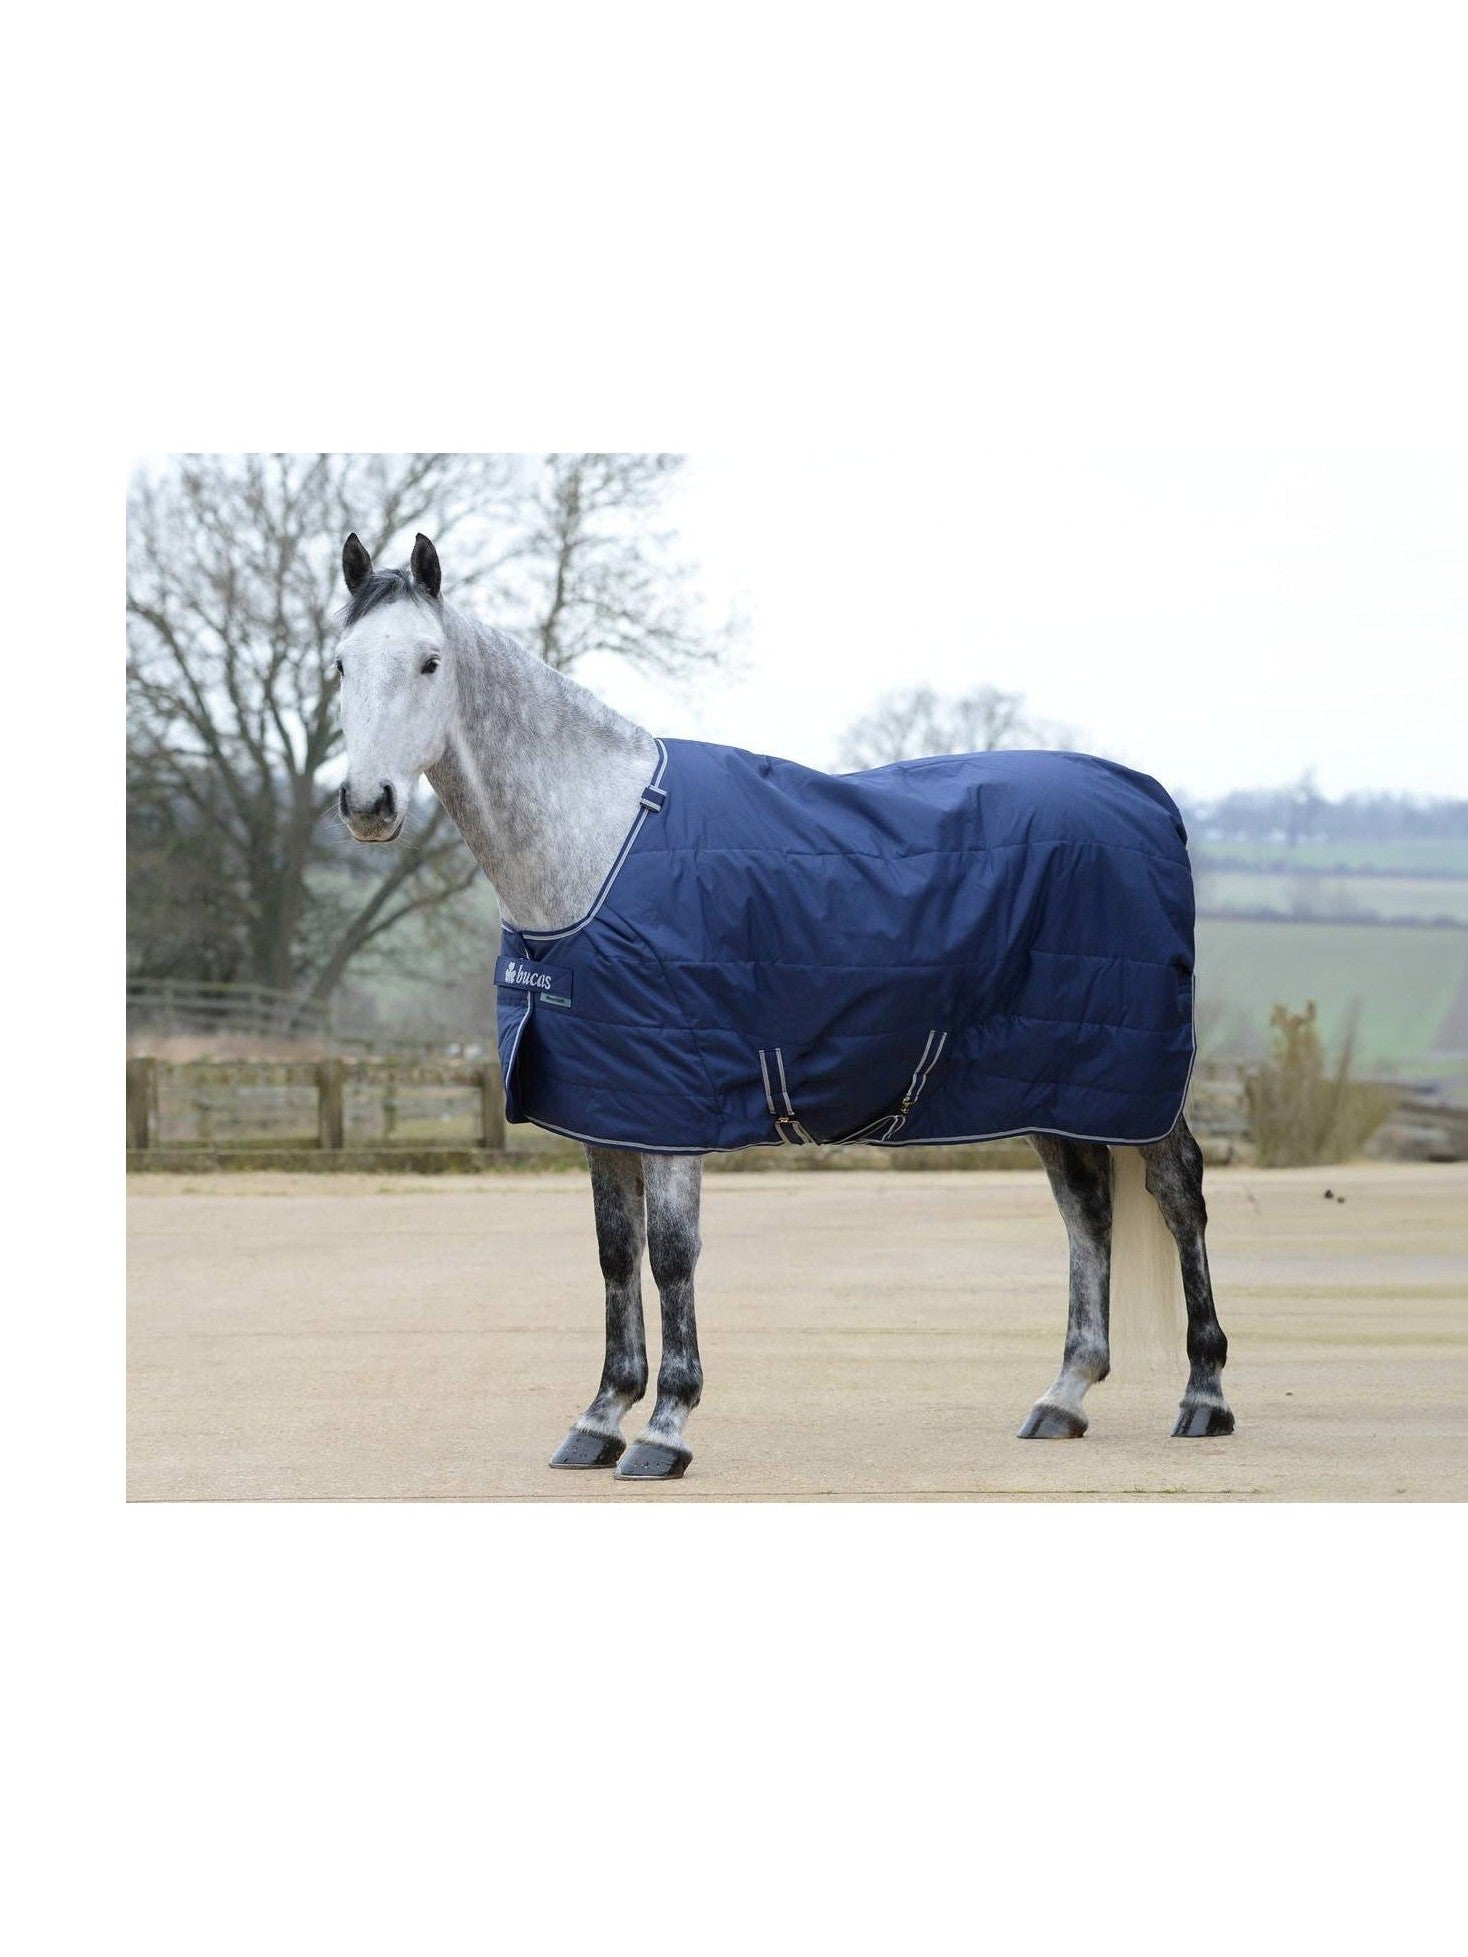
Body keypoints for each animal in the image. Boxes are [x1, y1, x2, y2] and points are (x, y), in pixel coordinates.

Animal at [333, 529, 1234, 1480]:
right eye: (342, 663)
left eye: (429, 661)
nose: (367, 805)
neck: (599, 845)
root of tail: (1150, 799)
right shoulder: (605, 1105)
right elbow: (616, 1255)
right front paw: (601, 1416)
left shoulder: (674, 1108)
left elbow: (671, 1255)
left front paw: (665, 1427)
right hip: (1053, 1082)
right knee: (1087, 1209)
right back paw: (1064, 1396)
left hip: (1133, 1078)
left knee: (1178, 1192)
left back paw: (1204, 1394)